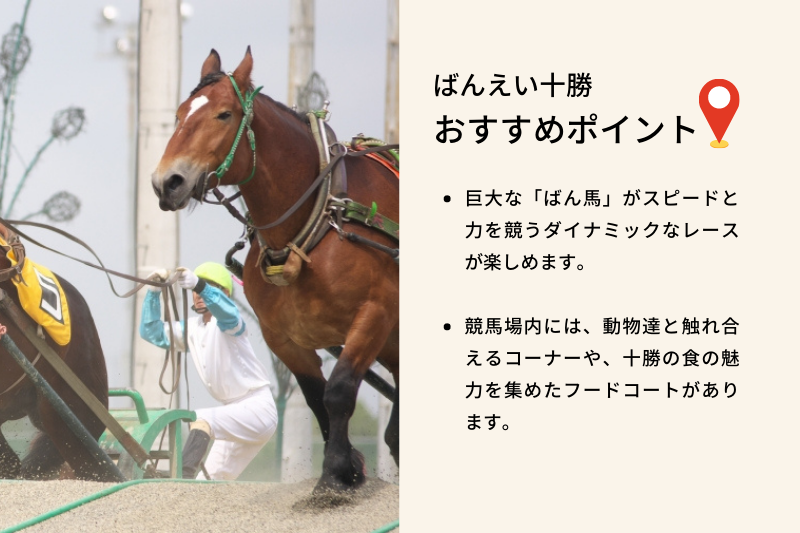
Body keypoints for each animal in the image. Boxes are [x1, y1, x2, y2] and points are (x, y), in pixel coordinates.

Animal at [152, 48, 398, 492]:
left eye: (224, 115)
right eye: (179, 114)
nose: (167, 182)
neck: (312, 228)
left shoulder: (375, 313)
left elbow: (338, 391)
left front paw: (336, 473)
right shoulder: (282, 336)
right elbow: (317, 399)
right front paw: (349, 466)